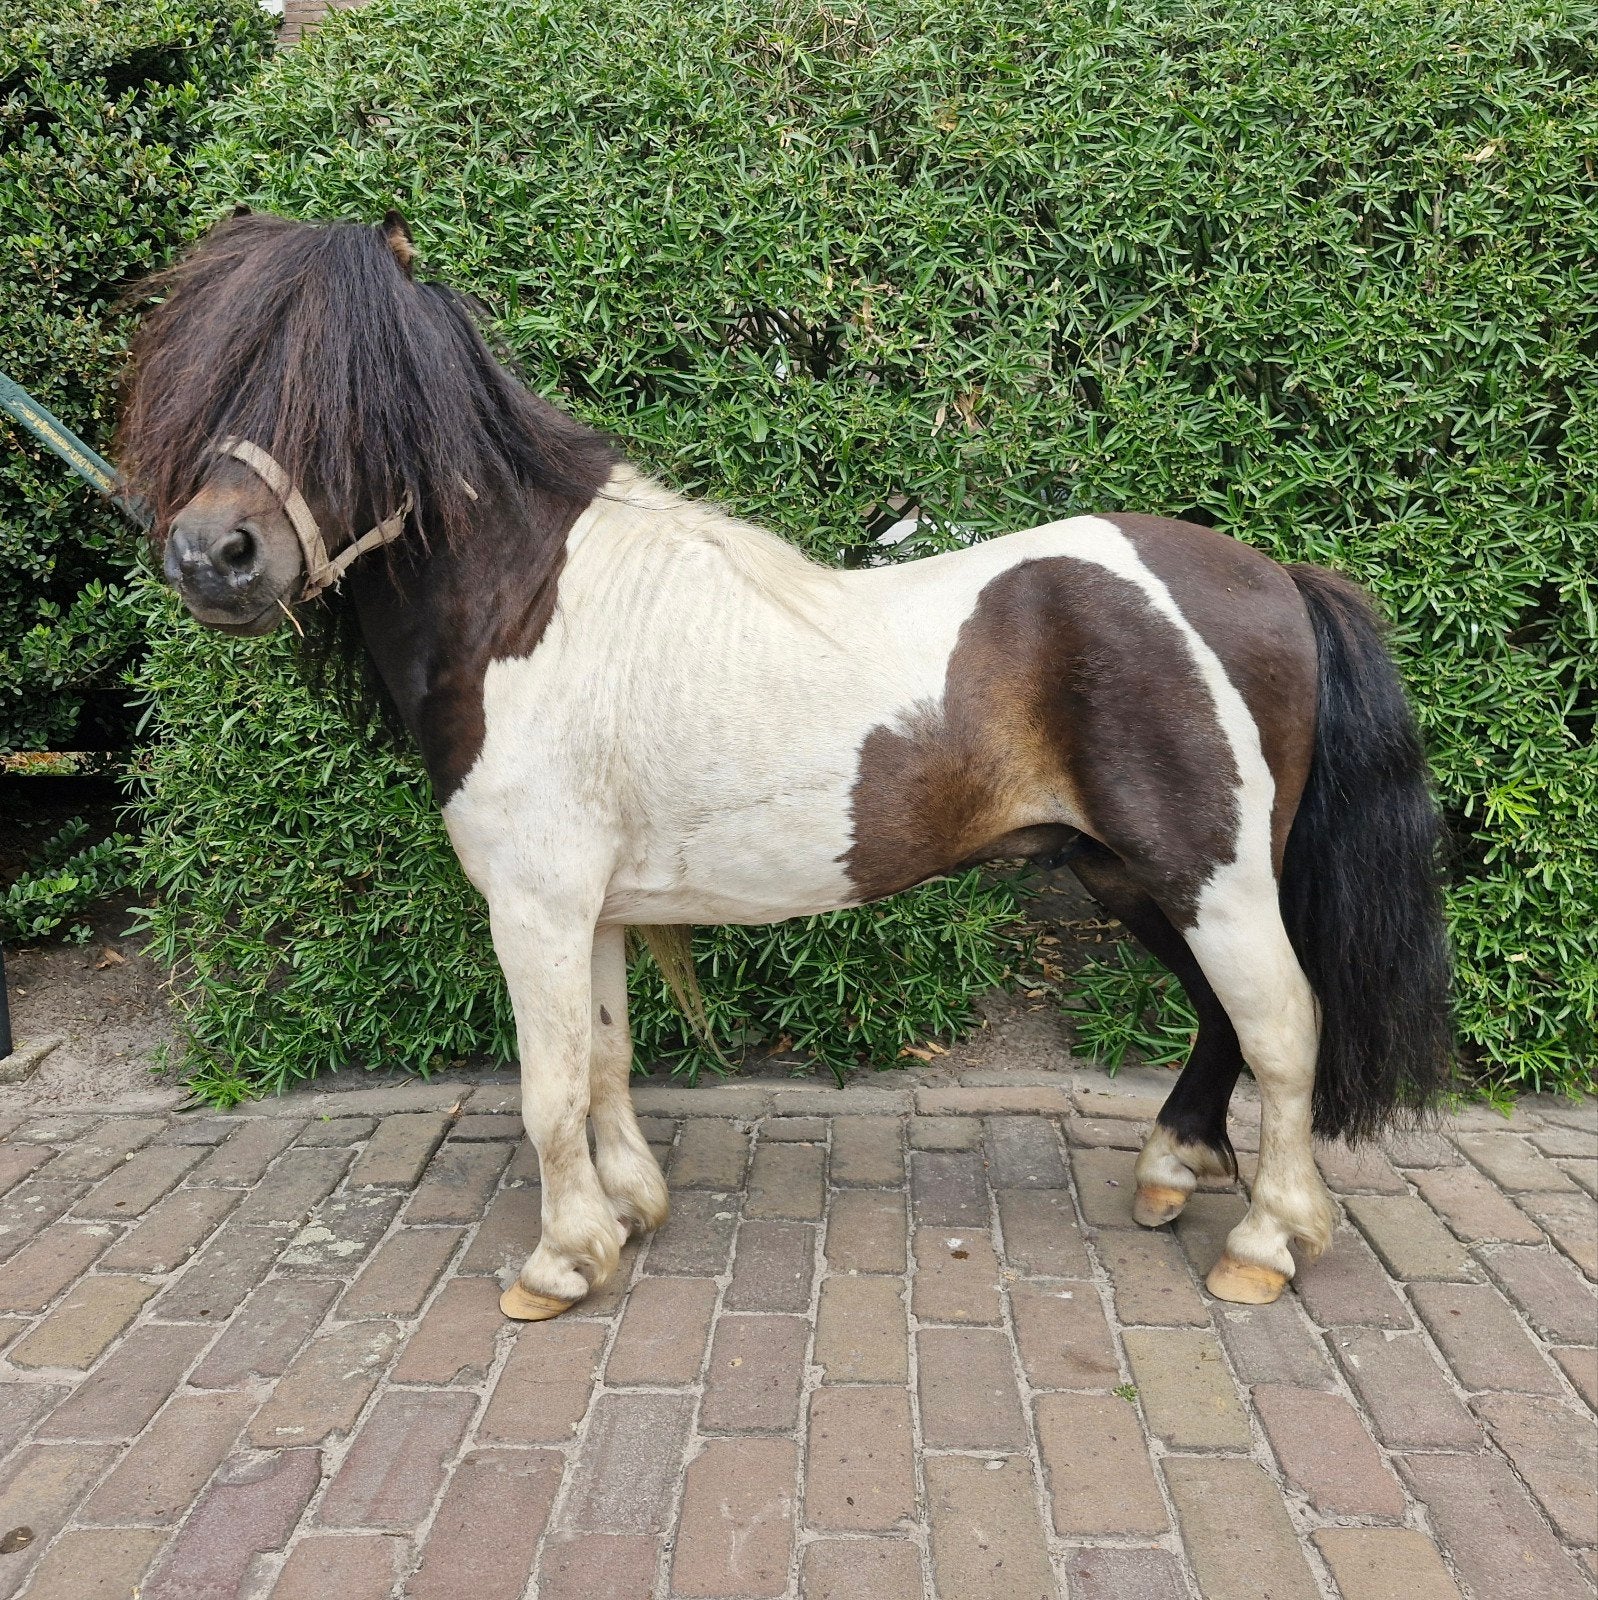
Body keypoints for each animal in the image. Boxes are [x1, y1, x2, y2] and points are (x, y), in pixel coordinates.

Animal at [117, 209, 1454, 1320]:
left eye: (352, 391)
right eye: (215, 373)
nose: (212, 556)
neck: (526, 610)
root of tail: (1275, 577)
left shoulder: (534, 905)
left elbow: (547, 1085)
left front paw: (560, 1262)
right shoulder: (592, 908)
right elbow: (604, 1058)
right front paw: (629, 1216)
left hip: (1205, 874)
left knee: (1279, 1025)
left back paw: (1267, 1246)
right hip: (1131, 874)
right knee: (1222, 1017)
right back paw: (1173, 1172)